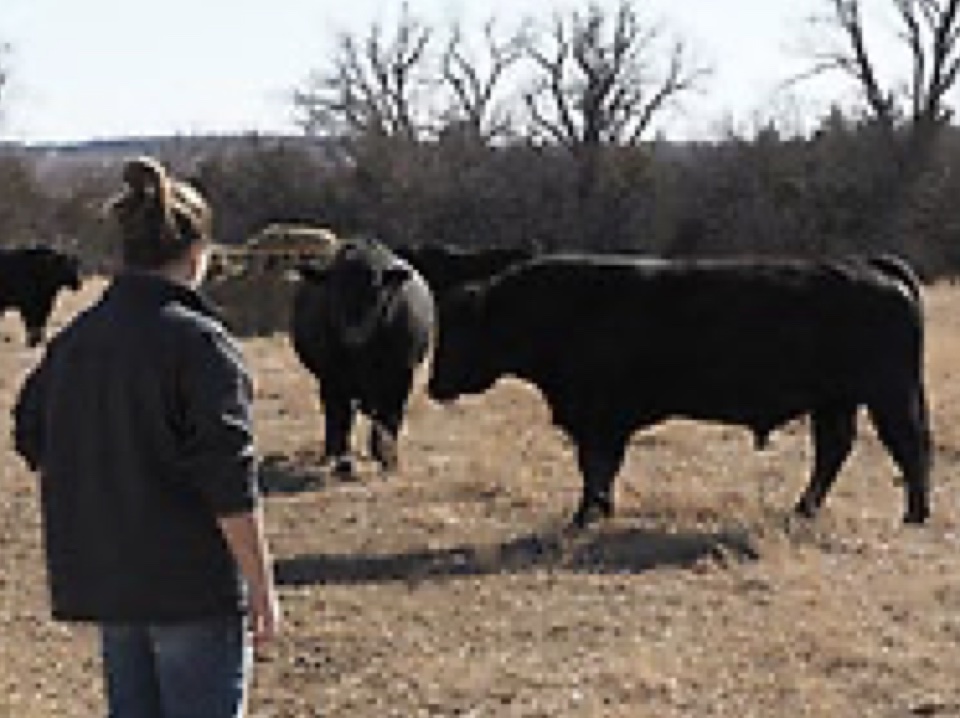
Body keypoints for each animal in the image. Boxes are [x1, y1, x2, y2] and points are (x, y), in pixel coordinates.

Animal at [286, 240, 434, 478]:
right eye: (334, 290)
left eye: (376, 290)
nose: (354, 333)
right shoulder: (332, 379)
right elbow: (340, 418)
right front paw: (343, 462)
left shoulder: (401, 376)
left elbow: (389, 418)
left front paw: (387, 458)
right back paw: (330, 454)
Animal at [428, 253, 928, 528]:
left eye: (459, 329)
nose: (433, 386)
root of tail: (870, 267)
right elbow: (599, 468)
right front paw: (598, 511)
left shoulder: (601, 420)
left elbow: (596, 466)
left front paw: (586, 515)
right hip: (835, 403)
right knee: (834, 451)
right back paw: (803, 510)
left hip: (887, 396)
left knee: (909, 446)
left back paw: (914, 515)